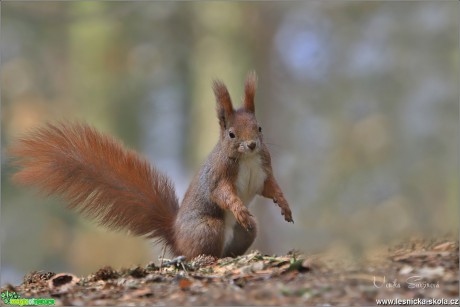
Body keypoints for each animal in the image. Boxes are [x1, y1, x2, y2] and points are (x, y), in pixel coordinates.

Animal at [10, 71, 294, 260]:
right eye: (232, 134)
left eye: (259, 128)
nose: (252, 145)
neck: (247, 159)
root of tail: (175, 236)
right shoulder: (218, 176)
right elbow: (222, 194)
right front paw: (239, 208)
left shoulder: (263, 171)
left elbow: (270, 188)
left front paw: (285, 205)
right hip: (207, 227)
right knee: (198, 252)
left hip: (244, 234)